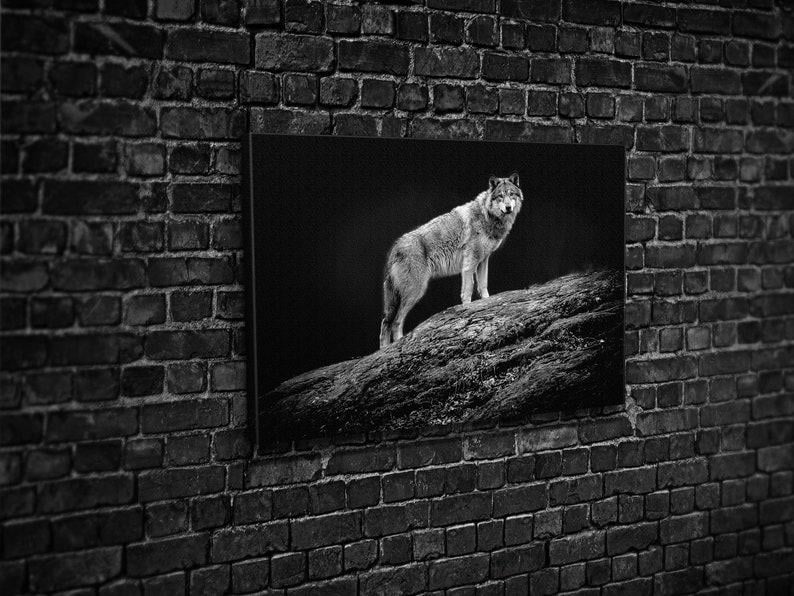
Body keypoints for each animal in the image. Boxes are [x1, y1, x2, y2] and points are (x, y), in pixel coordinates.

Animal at [379, 173, 523, 348]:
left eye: (511, 194)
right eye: (500, 196)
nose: (508, 207)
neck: (487, 216)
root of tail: (394, 249)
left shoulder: (483, 260)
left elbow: (483, 285)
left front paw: (487, 302)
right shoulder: (470, 262)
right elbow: (468, 289)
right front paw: (467, 307)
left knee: (385, 322)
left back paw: (384, 350)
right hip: (415, 291)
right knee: (394, 322)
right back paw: (397, 344)